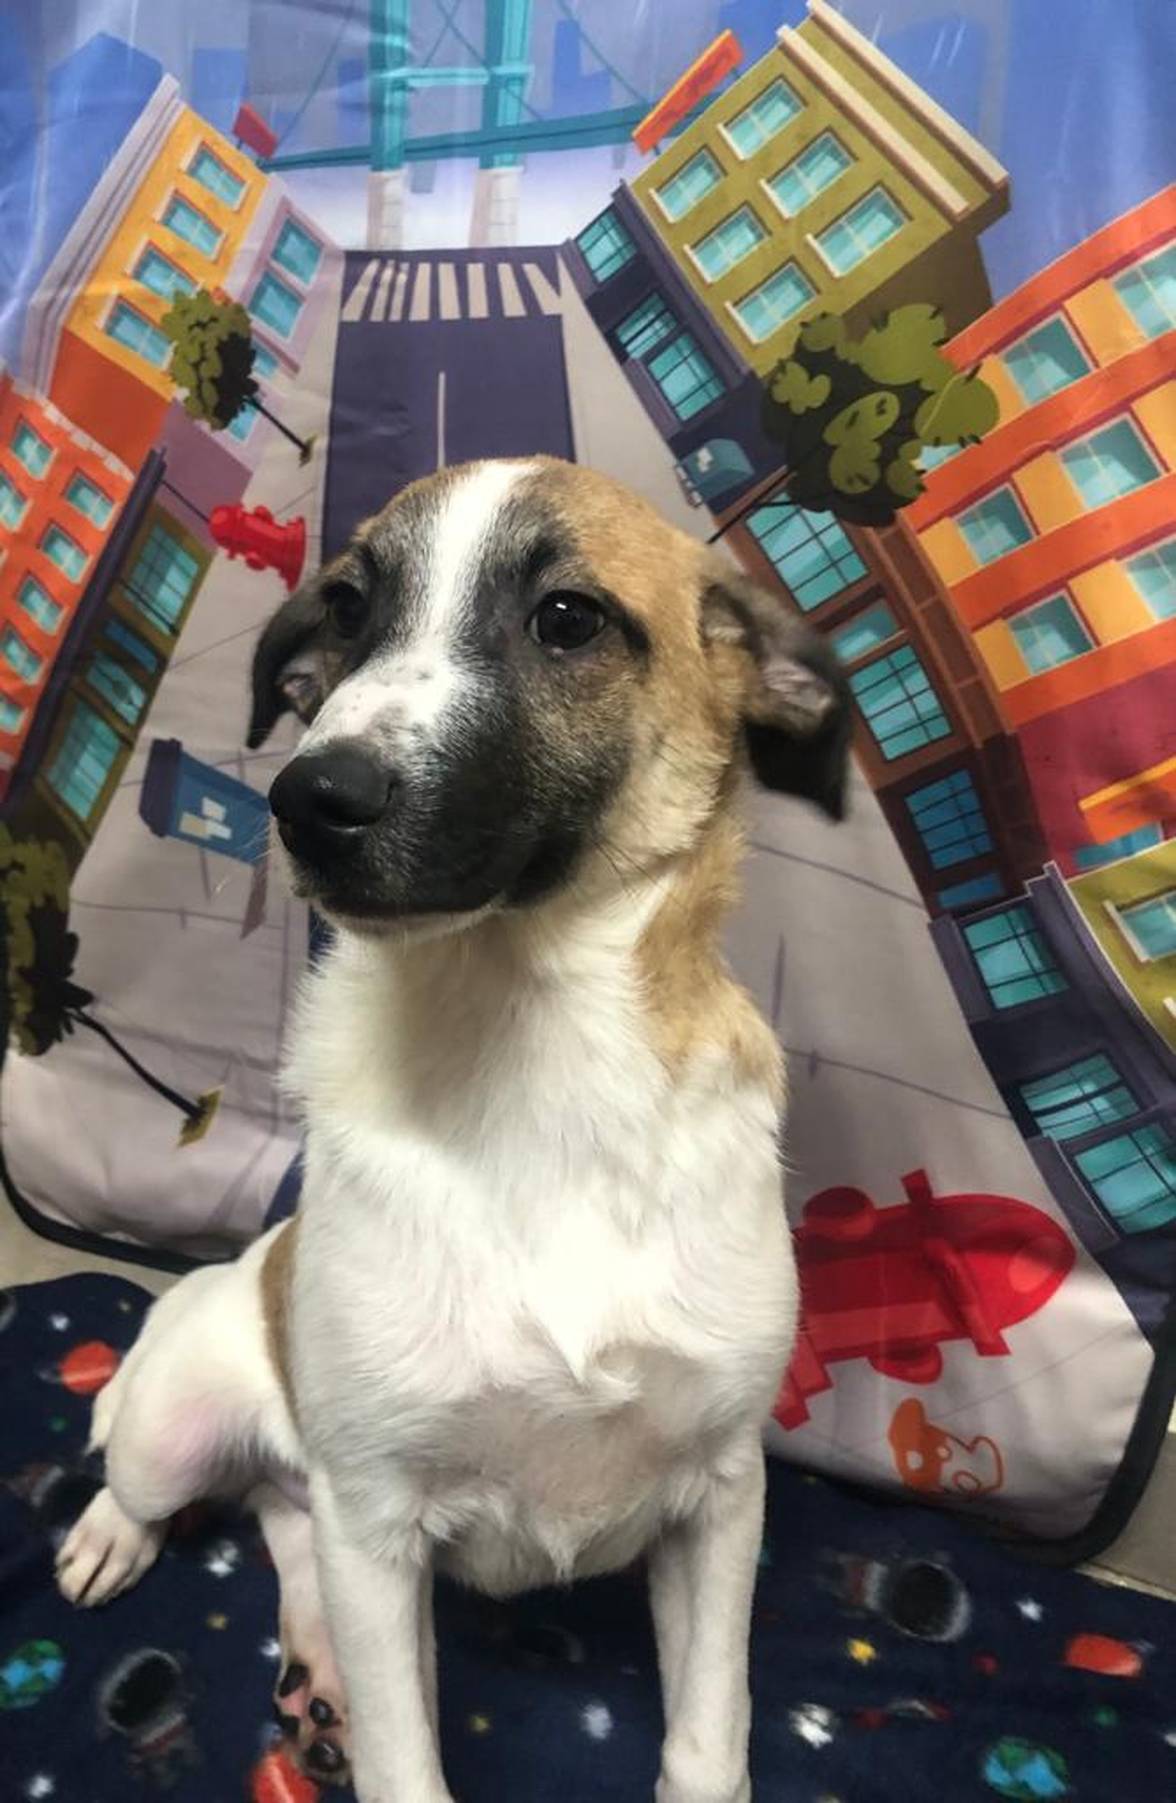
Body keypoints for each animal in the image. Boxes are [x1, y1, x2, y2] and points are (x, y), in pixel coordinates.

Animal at [57, 458, 850, 1802]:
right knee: (149, 1479)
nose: (308, 798)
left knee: (285, 1524)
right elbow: (405, 1764)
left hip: (323, 1506)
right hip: (188, 1426)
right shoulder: (378, 1510)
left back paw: (316, 1680)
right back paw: (111, 1537)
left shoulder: (722, 1498)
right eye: (346, 609)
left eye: (569, 619)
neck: (536, 1063)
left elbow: (709, 1735)